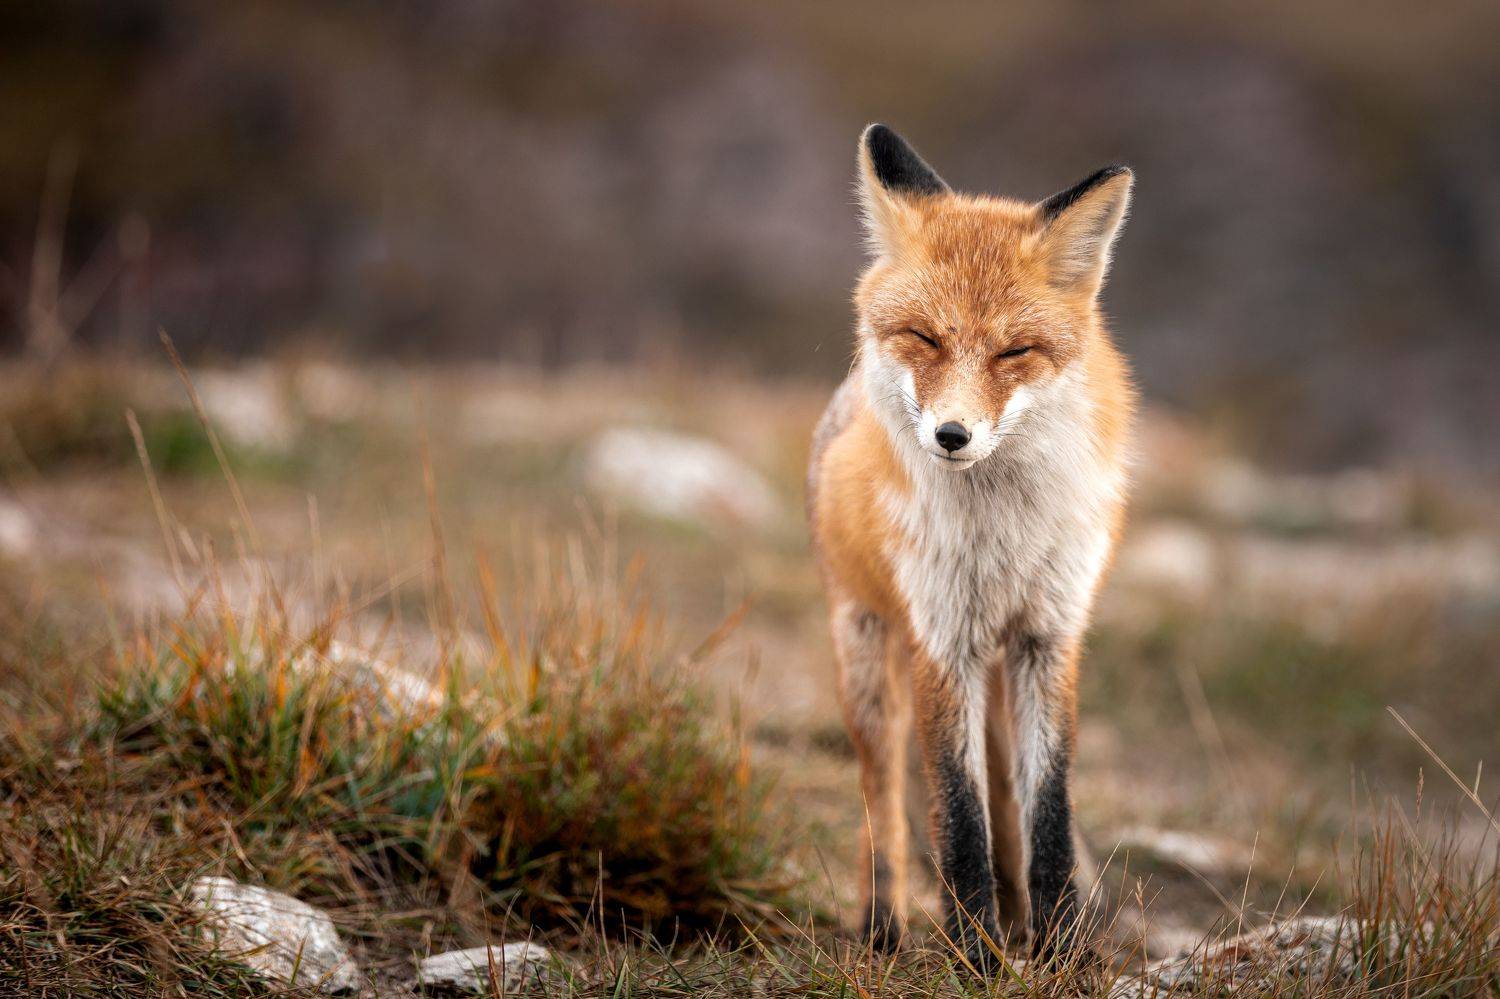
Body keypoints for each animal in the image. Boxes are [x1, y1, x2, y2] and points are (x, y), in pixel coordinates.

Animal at [806, 124, 1135, 965]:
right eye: (924, 337)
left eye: (1014, 352)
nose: (951, 435)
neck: (1003, 529)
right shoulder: (942, 639)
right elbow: (956, 817)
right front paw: (974, 953)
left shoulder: (1049, 635)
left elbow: (1046, 808)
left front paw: (1058, 945)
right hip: (869, 663)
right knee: (884, 803)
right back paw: (884, 921)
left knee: (1008, 800)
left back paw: (1024, 915)